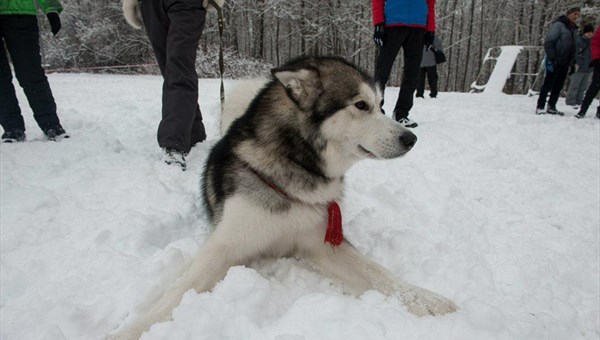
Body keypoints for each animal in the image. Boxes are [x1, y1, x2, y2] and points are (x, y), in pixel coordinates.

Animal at [112, 57, 458, 338]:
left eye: (382, 105)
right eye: (361, 105)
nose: (410, 138)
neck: (294, 170)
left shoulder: (322, 238)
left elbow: (379, 273)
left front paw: (428, 300)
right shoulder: (225, 245)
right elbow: (179, 292)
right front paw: (132, 330)